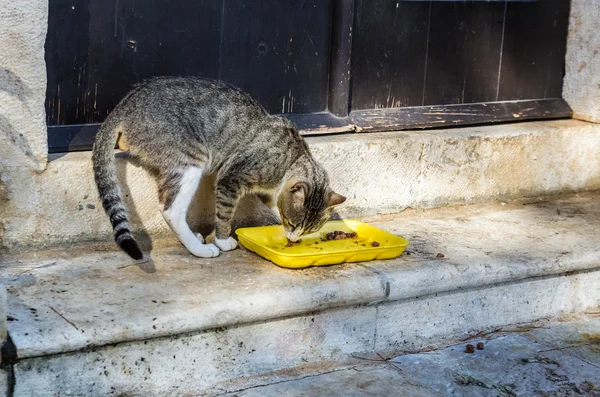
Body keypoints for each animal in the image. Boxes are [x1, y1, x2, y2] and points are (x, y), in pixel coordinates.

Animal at [93, 76, 346, 260]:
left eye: (308, 230)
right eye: (293, 224)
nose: (293, 239)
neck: (292, 158)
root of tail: (123, 106)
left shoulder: (269, 191)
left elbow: (274, 205)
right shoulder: (231, 178)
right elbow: (225, 214)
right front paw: (224, 240)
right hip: (190, 160)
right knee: (170, 209)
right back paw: (200, 249)